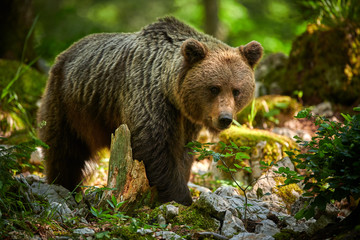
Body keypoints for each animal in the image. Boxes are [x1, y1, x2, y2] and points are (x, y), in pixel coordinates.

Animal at [37, 16, 262, 206]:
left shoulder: (186, 120)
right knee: (64, 149)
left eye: (237, 90)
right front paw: (182, 198)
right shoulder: (149, 96)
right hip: (69, 103)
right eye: (214, 88)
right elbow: (154, 146)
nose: (225, 118)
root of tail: (67, 51)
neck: (170, 90)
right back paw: (66, 186)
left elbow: (184, 153)